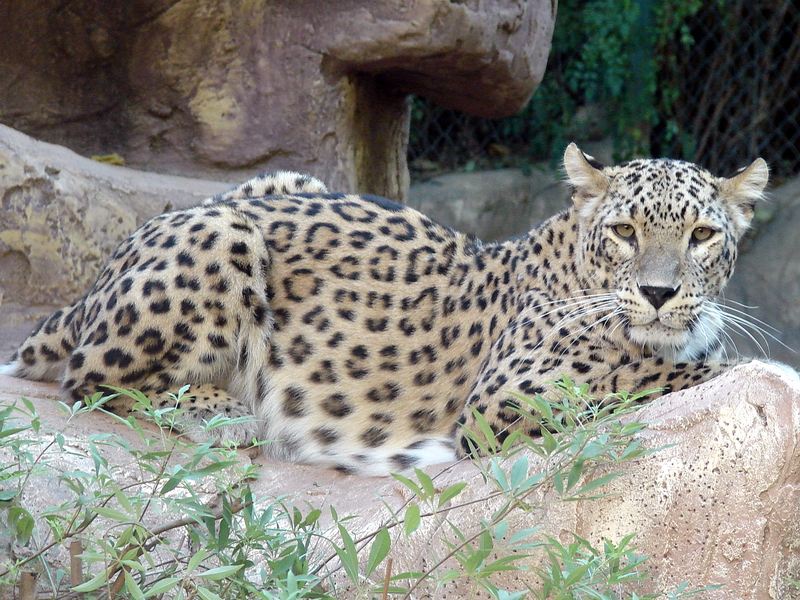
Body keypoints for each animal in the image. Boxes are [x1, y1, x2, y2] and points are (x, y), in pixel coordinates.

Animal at [0, 144, 775, 476]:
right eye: (624, 232)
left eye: (701, 236)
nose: (658, 293)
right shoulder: (506, 398)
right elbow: (657, 375)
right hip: (224, 232)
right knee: (90, 378)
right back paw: (222, 411)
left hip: (281, 182)